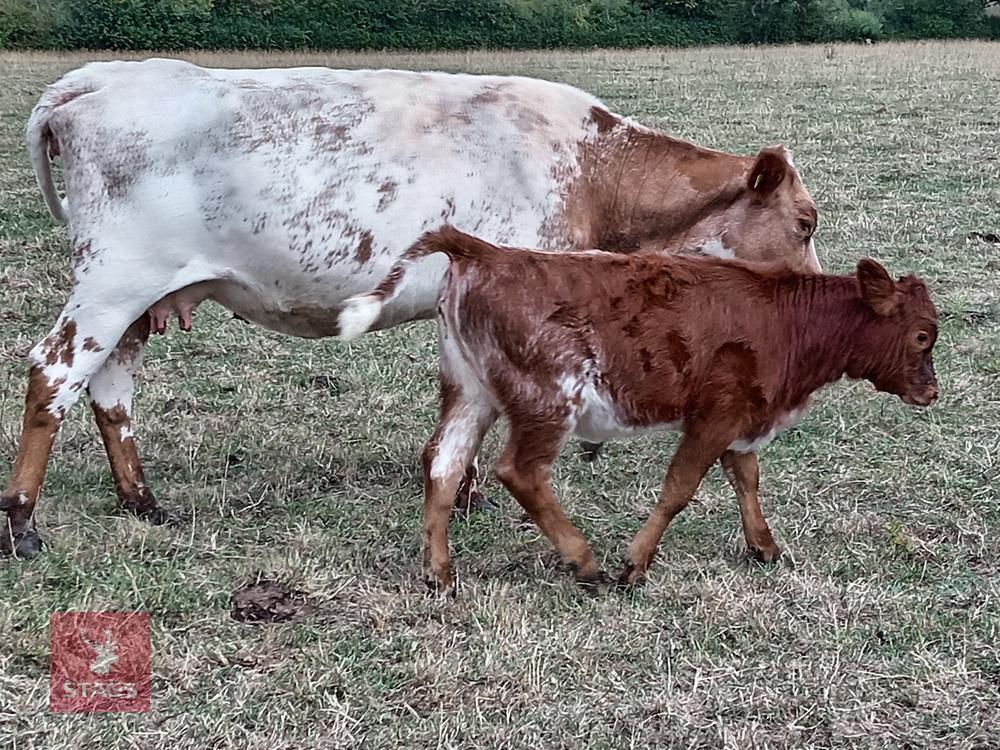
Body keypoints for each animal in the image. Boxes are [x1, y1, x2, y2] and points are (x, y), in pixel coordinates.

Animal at [3, 58, 820, 558]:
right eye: (807, 222)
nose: (811, 298)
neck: (594, 171)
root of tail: (98, 79)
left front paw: (465, 496)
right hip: (114, 279)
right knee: (52, 375)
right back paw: (23, 524)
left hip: (141, 296)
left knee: (109, 386)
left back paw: (142, 501)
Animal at [338, 227, 939, 591]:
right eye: (922, 336)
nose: (931, 393)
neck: (784, 318)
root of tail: (489, 251)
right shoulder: (715, 414)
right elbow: (679, 489)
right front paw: (635, 563)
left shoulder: (742, 420)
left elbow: (746, 478)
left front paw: (764, 545)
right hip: (547, 398)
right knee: (519, 471)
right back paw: (583, 560)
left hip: (470, 392)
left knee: (443, 465)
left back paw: (440, 573)